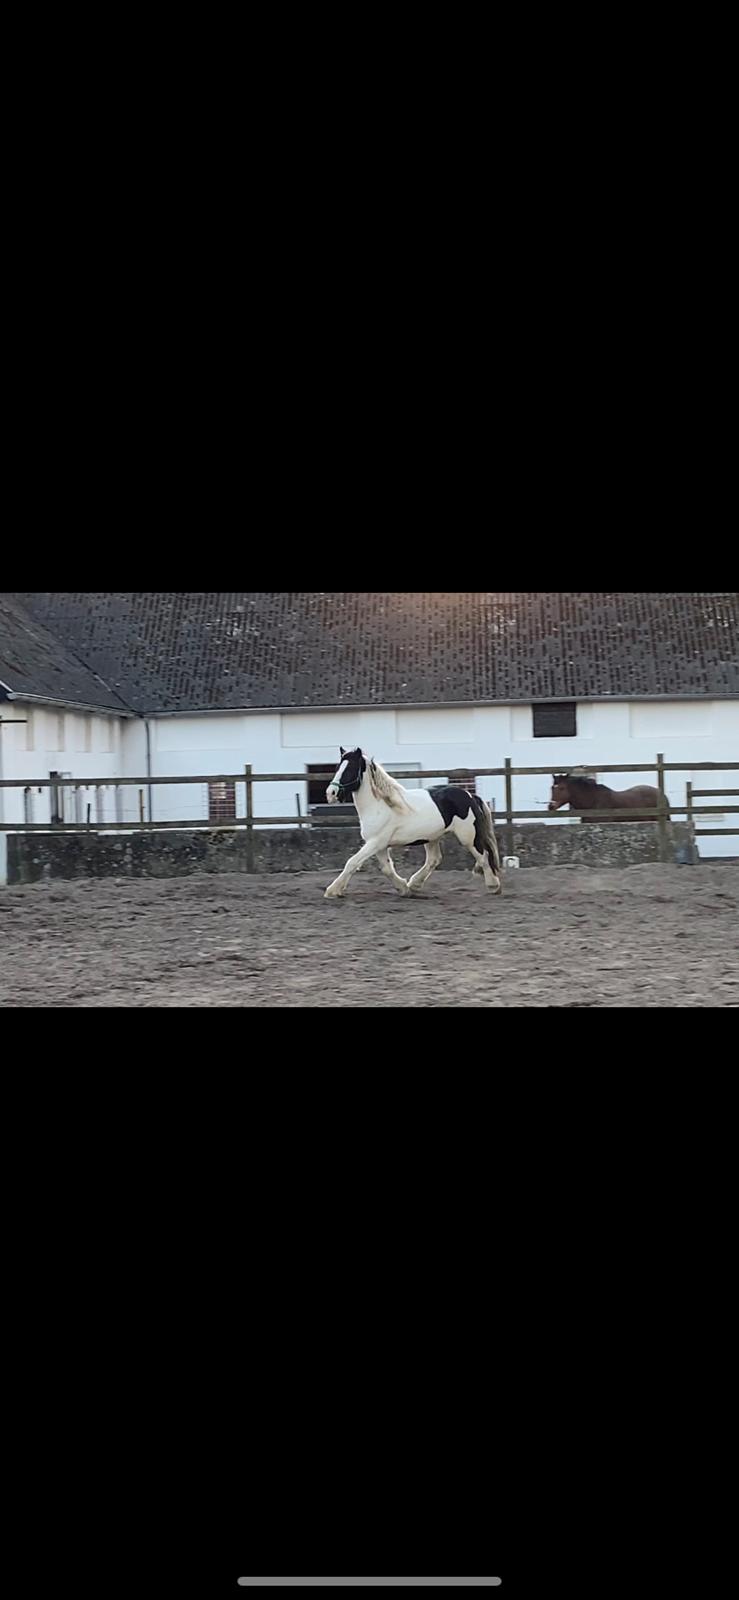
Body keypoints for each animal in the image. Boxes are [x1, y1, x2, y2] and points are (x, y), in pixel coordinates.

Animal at [323, 748, 502, 902]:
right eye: (338, 767)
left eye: (350, 769)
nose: (330, 794)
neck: (380, 805)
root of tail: (470, 795)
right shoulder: (379, 845)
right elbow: (387, 869)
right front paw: (404, 889)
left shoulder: (376, 842)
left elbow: (352, 862)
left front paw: (332, 890)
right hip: (432, 837)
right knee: (434, 860)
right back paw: (414, 884)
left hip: (468, 837)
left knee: (483, 856)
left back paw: (494, 886)